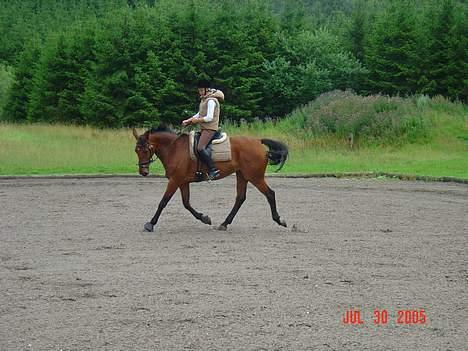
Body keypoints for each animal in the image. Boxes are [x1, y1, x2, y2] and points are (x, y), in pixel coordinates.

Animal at [130, 127, 288, 234]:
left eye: (145, 150)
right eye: (136, 150)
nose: (143, 172)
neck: (174, 148)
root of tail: (257, 142)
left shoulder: (175, 180)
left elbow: (163, 202)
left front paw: (150, 224)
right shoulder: (182, 182)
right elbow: (186, 203)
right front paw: (204, 218)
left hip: (254, 176)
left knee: (270, 194)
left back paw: (279, 220)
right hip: (242, 175)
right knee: (240, 198)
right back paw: (224, 223)